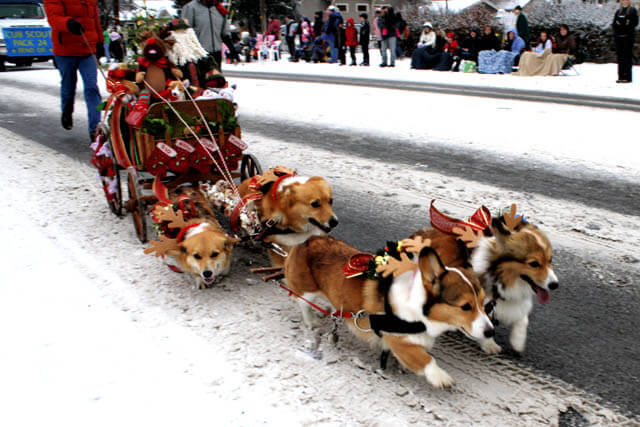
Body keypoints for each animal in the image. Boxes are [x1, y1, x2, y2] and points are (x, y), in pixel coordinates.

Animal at [284, 236, 496, 390]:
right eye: (466, 306)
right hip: (307, 290)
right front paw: (440, 377)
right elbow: (426, 359)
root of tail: (308, 240)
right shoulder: (397, 340)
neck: (419, 309)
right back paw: (312, 320)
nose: (491, 332)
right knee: (301, 301)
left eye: (483, 303)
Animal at [412, 204, 556, 354]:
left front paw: (518, 342)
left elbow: (522, 320)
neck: (500, 278)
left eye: (550, 260)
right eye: (534, 264)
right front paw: (490, 344)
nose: (555, 284)